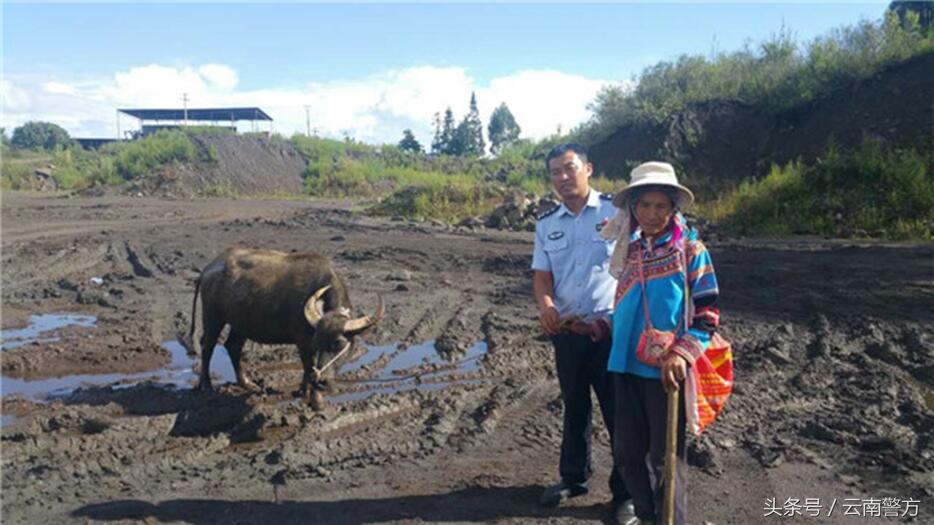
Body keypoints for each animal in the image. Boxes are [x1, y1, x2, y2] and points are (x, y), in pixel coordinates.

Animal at [188, 248, 382, 408]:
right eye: (318, 343)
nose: (322, 381)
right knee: (207, 347)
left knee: (233, 346)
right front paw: (316, 400)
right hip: (213, 317)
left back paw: (247, 383)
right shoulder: (303, 342)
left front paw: (302, 390)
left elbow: (308, 369)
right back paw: (206, 386)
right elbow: (308, 366)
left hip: (240, 324)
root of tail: (209, 268)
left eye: (339, 343)